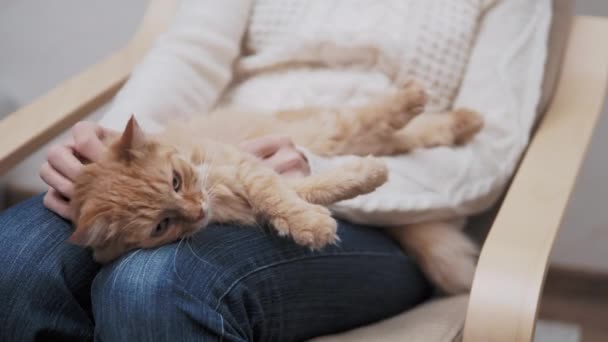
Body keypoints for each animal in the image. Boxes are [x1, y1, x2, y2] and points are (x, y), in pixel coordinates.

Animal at [69, 83, 482, 294]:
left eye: (175, 180)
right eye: (161, 226)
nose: (197, 209)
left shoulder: (245, 168)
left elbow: (282, 194)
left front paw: (320, 215)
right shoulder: (260, 182)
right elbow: (303, 193)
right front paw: (309, 222)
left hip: (332, 131)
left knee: (386, 121)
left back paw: (433, 106)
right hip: (344, 137)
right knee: (403, 135)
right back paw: (460, 123)